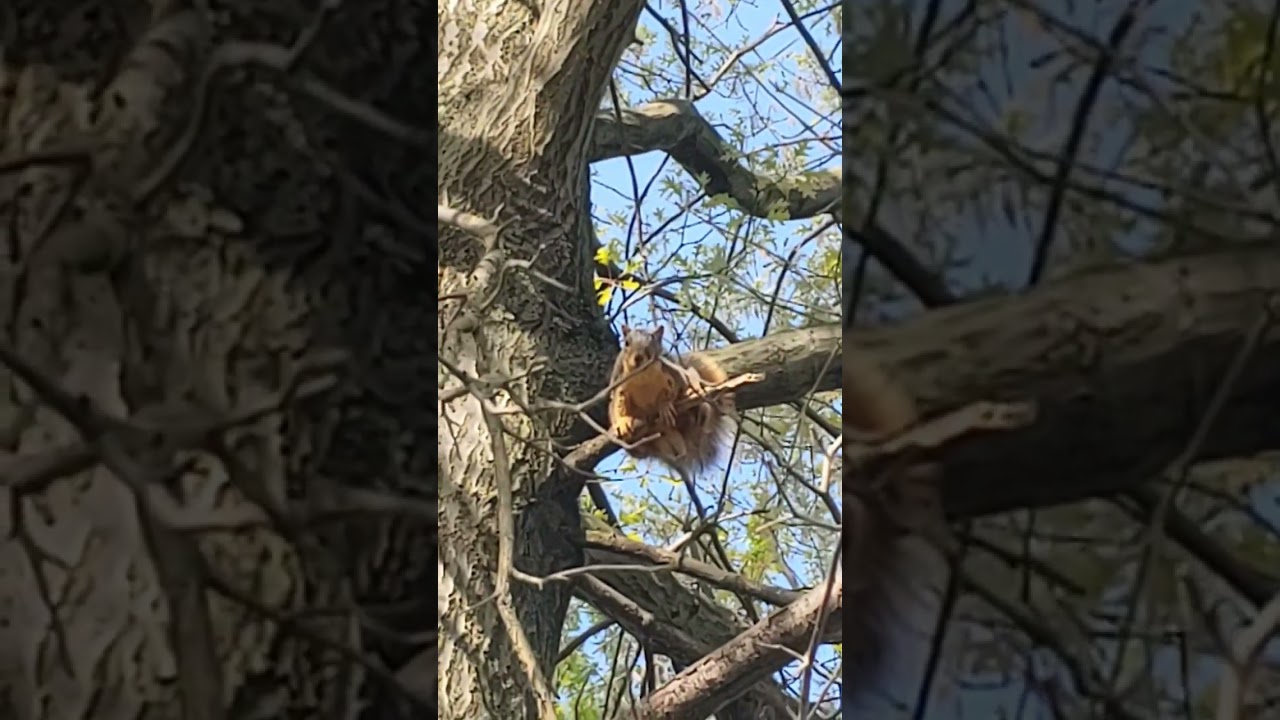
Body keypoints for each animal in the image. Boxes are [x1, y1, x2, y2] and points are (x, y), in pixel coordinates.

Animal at [607, 325, 733, 475]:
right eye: (626, 343)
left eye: (653, 342)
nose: (638, 357)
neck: (643, 376)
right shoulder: (619, 386)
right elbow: (617, 406)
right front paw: (622, 421)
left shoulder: (673, 376)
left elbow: (671, 393)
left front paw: (664, 406)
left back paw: (695, 404)